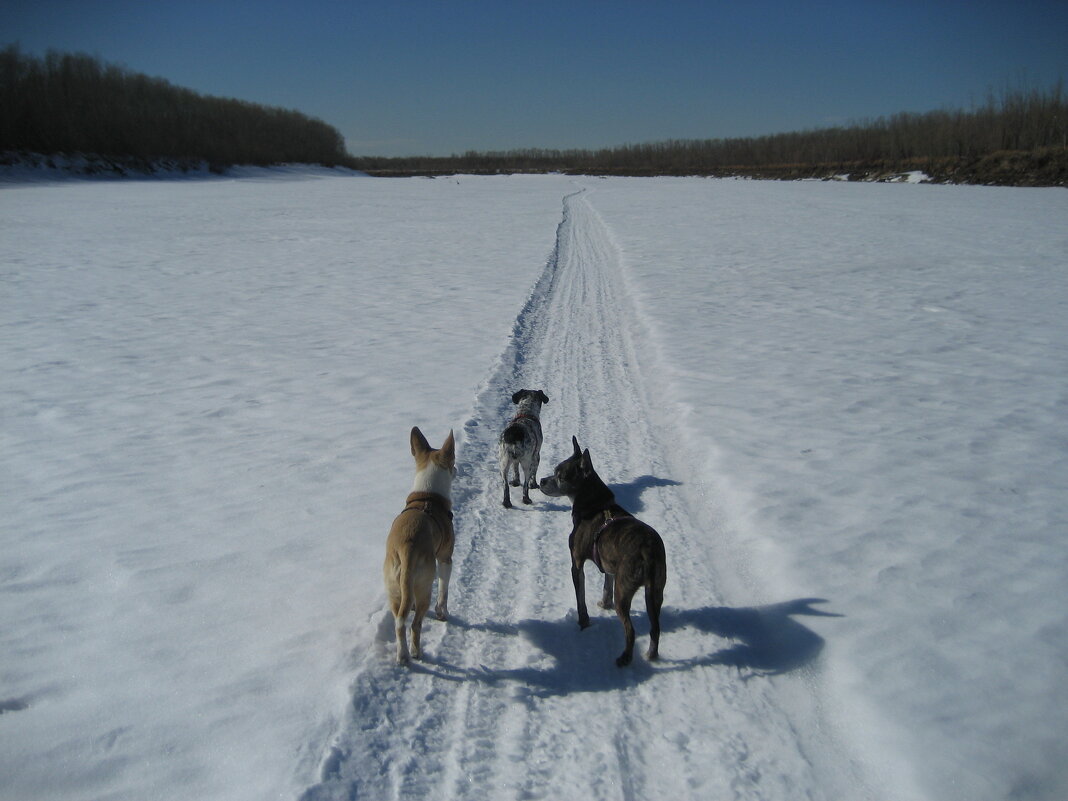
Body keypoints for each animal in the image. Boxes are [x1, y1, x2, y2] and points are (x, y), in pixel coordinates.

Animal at [384, 429, 454, 662]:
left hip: (393, 586)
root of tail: (407, 549)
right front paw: (443, 613)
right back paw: (415, 652)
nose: (456, 470)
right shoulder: (445, 559)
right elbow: (444, 592)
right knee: (415, 625)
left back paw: (402, 654)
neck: (427, 496)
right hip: (425, 583)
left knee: (400, 622)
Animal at [542, 435, 666, 666]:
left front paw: (583, 624)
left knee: (630, 630)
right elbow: (606, 584)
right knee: (655, 627)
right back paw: (651, 655)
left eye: (560, 476)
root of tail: (648, 550)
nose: (541, 481)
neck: (594, 505)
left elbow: (580, 599)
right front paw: (603, 603)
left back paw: (624, 659)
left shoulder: (576, 564)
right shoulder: (609, 564)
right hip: (655, 590)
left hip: (624, 589)